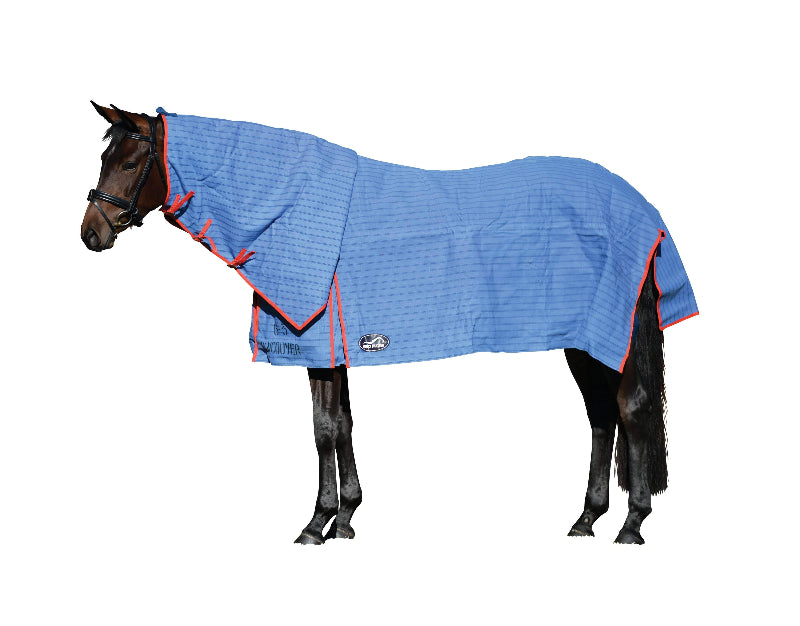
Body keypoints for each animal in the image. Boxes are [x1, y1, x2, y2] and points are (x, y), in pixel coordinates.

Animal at [81, 102, 698, 544]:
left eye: (131, 163)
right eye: (106, 158)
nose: (91, 231)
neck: (290, 209)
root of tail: (645, 212)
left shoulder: (318, 347)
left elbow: (324, 430)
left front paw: (317, 525)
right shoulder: (330, 349)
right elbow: (341, 425)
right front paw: (346, 518)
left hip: (612, 332)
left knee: (630, 408)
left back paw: (631, 525)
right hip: (585, 340)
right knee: (601, 415)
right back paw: (586, 519)